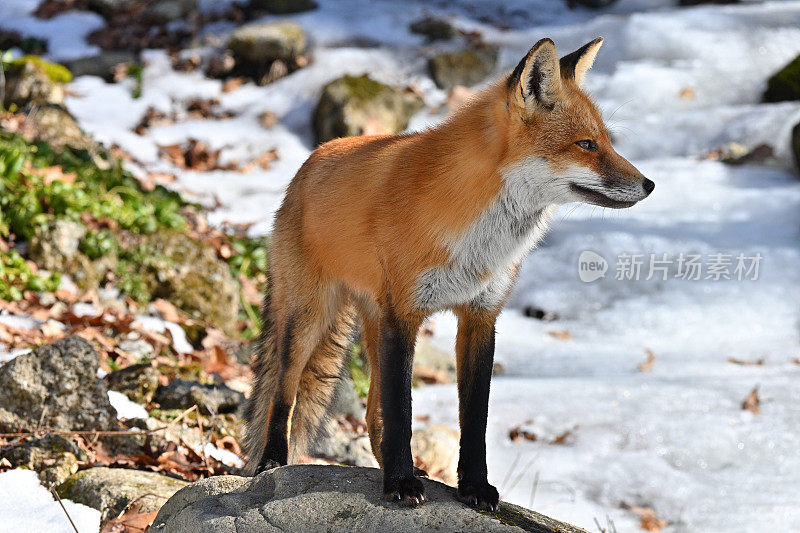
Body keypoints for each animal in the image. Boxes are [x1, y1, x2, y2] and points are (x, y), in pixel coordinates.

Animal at [244, 35, 648, 510]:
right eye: (586, 145)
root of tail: (311, 161)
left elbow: (473, 419)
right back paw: (273, 462)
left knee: (371, 415)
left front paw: (473, 486)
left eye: (607, 141)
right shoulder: (403, 316)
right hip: (309, 318)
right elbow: (403, 411)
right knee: (283, 394)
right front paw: (401, 484)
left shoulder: (480, 316)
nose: (649, 185)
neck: (478, 237)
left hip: (372, 326)